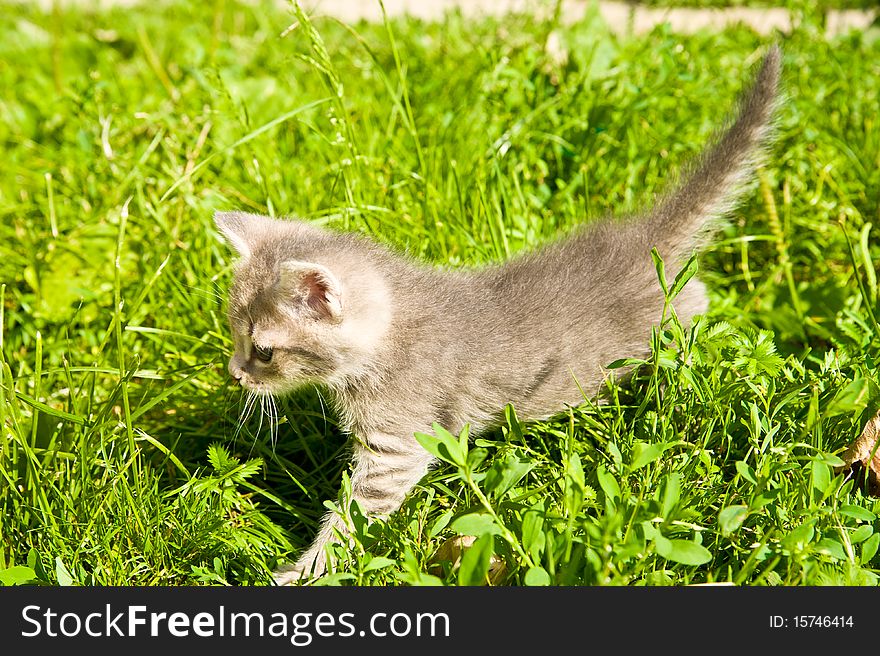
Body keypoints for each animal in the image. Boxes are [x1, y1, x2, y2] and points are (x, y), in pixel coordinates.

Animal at [215, 47, 784, 584]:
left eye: (263, 351)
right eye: (235, 337)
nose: (234, 374)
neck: (393, 329)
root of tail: (640, 237)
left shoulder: (396, 446)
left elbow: (352, 519)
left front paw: (303, 572)